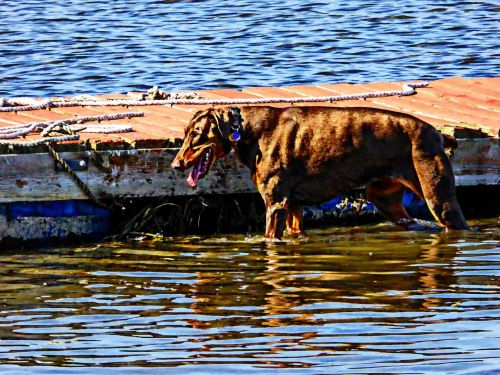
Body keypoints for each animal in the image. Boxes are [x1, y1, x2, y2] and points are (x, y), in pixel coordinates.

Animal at [172, 107, 468, 239]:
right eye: (184, 133)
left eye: (196, 134)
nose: (175, 165)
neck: (247, 131)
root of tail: (437, 133)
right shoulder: (293, 206)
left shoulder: (276, 204)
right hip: (384, 197)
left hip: (437, 198)